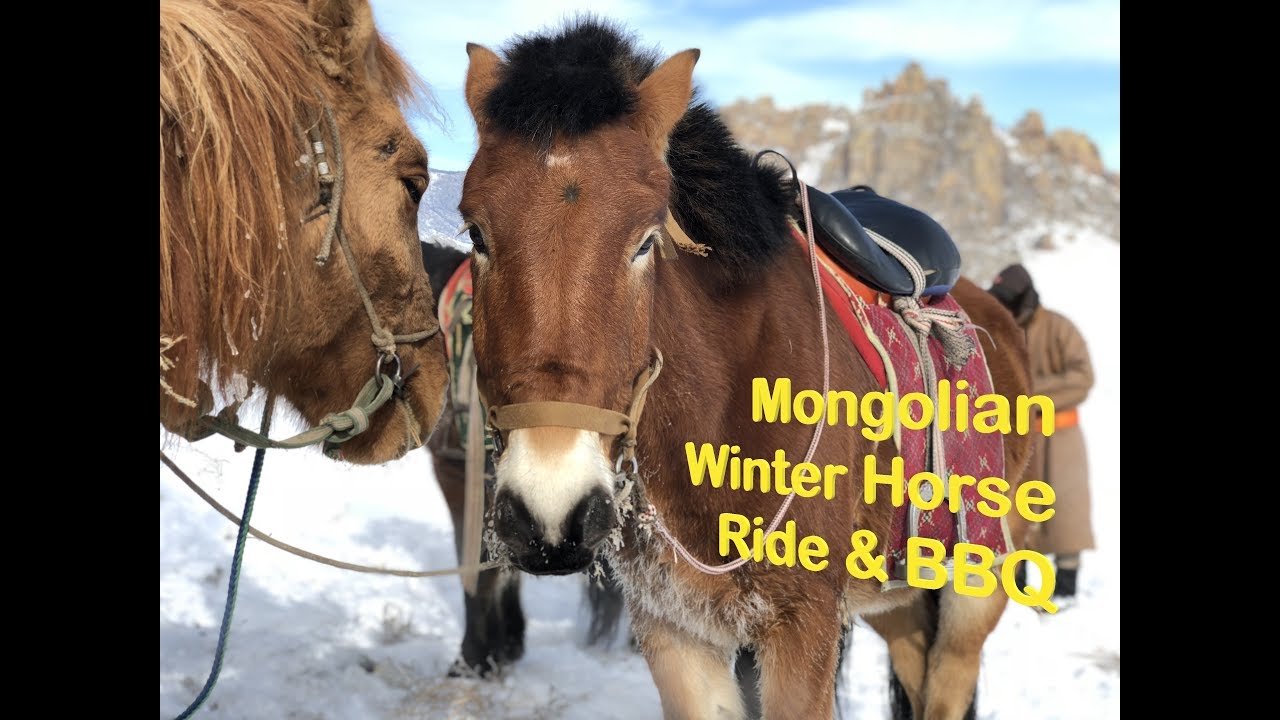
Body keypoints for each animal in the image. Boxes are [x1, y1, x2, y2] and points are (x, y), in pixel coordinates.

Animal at [456, 18, 1034, 720]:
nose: (549, 512)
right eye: (476, 233)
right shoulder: (673, 630)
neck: (723, 409)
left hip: (978, 584)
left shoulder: (802, 626)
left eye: (644, 241)